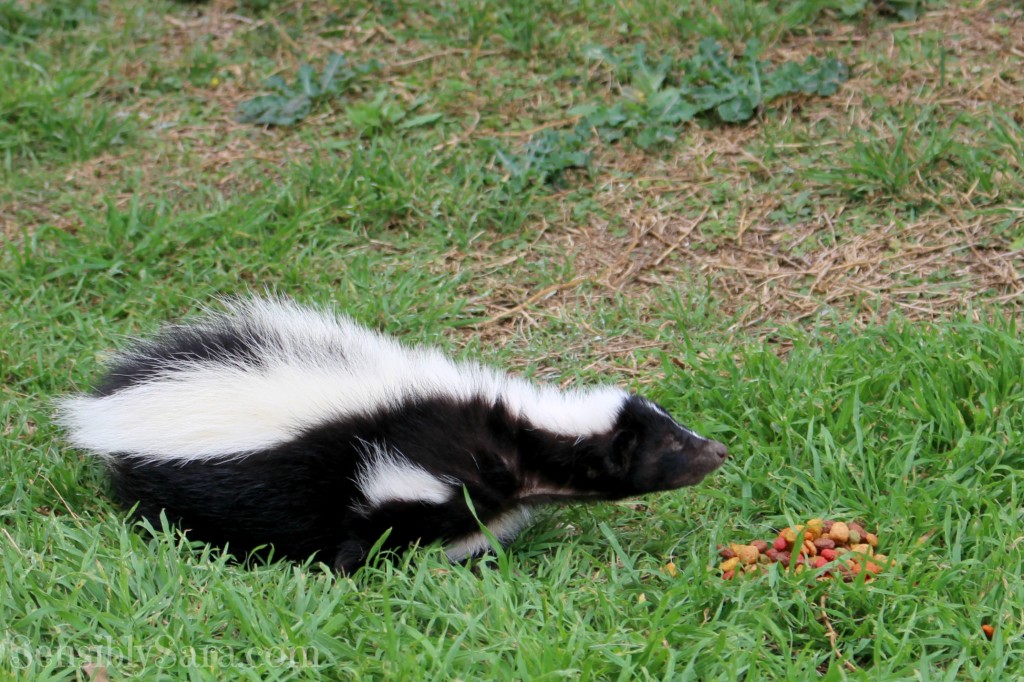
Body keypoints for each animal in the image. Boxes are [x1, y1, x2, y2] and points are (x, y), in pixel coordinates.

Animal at [58, 296, 729, 569]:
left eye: (678, 431)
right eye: (671, 447)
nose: (719, 450)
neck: (514, 436)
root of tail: (121, 398)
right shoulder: (406, 472)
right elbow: (370, 527)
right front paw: (355, 569)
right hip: (191, 488)